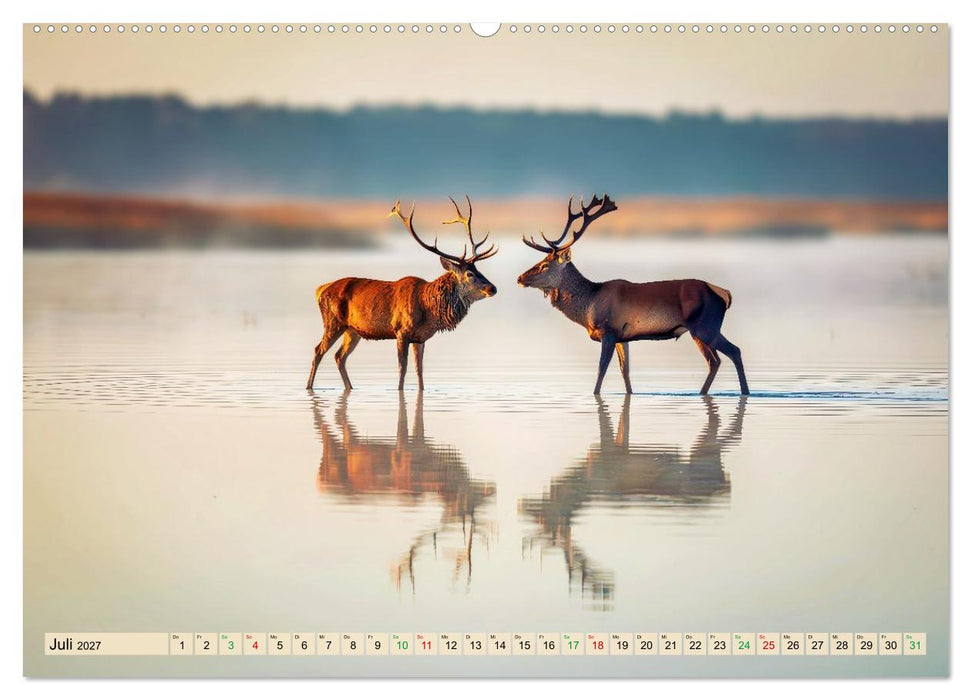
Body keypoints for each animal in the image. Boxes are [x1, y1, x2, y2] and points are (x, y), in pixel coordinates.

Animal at [306, 197, 498, 392]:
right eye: (470, 274)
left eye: (478, 269)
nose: (492, 288)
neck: (428, 309)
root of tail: (320, 289)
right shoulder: (401, 331)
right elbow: (402, 367)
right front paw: (399, 390)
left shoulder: (420, 338)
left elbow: (419, 369)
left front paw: (421, 390)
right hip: (333, 322)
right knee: (318, 350)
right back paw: (309, 387)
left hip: (353, 330)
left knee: (339, 356)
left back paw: (350, 387)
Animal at [517, 194, 749, 396]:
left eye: (545, 265)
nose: (520, 278)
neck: (589, 305)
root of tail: (724, 294)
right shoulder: (623, 337)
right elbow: (625, 371)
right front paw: (629, 394)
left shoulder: (608, 331)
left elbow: (602, 368)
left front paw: (595, 393)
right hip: (703, 330)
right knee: (717, 360)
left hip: (704, 326)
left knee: (730, 353)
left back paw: (742, 392)